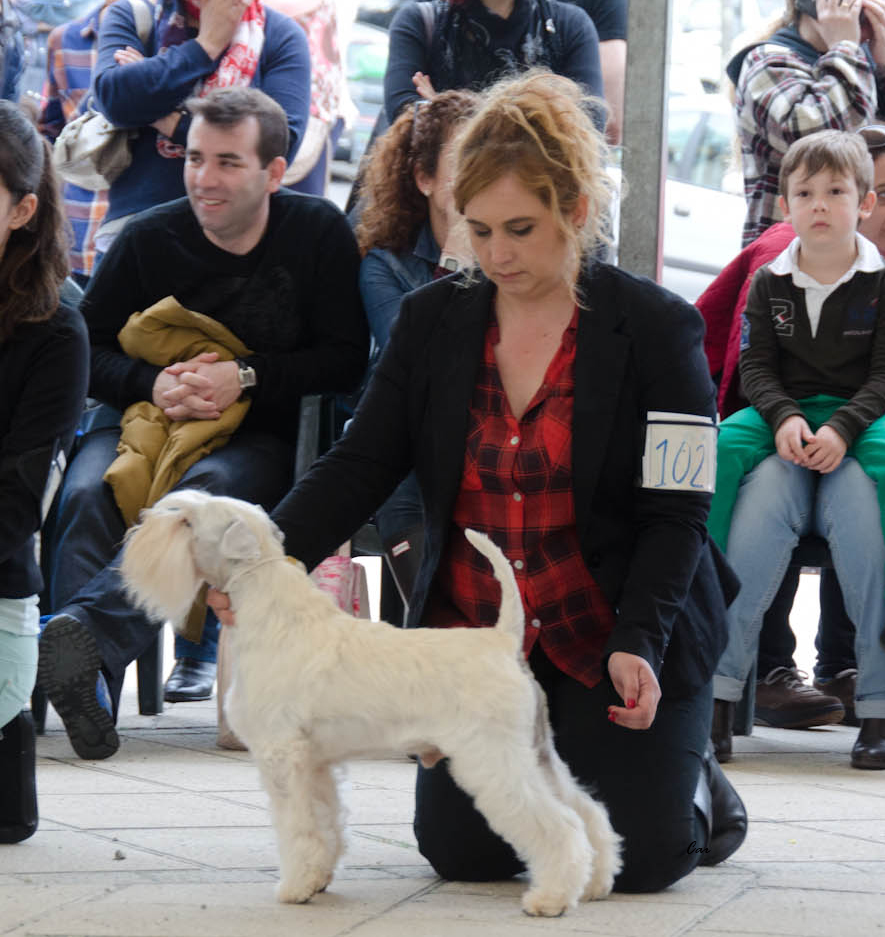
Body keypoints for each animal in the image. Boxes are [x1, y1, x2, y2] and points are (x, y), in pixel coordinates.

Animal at [121, 489, 621, 917]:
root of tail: (503, 640)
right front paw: (318, 879)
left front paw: (294, 886)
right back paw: (596, 882)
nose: (139, 524)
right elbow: (325, 821)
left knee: (559, 824)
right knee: (588, 811)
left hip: (496, 760)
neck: (272, 612)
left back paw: (551, 898)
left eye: (186, 521)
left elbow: (297, 826)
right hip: (537, 753)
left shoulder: (282, 757)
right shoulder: (314, 763)